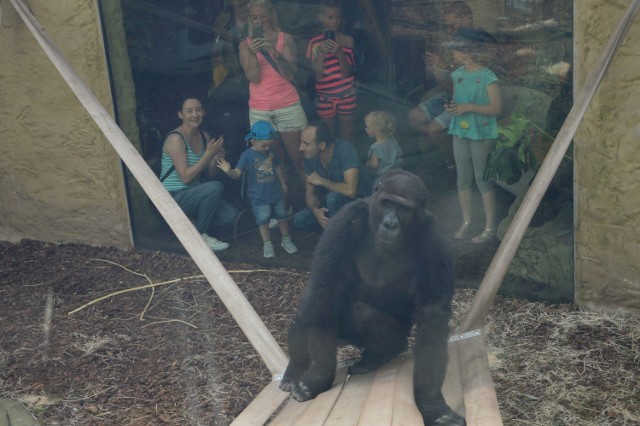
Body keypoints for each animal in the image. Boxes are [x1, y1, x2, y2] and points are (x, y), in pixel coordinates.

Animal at [280, 170, 464, 426]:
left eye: (403, 208)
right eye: (387, 203)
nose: (390, 224)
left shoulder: (434, 238)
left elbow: (432, 313)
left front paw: (431, 404)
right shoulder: (346, 219)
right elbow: (324, 285)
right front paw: (319, 376)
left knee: (364, 315)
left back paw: (381, 353)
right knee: (311, 308)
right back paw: (295, 369)